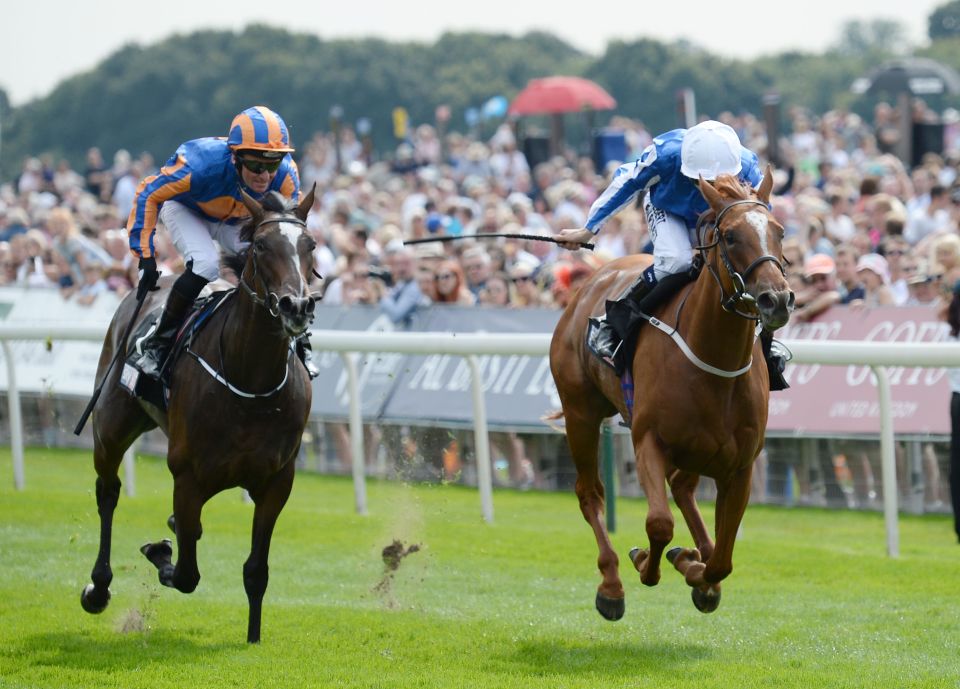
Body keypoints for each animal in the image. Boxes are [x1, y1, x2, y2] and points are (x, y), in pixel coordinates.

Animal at [79, 187, 318, 640]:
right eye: (262, 246)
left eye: (309, 245)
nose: (296, 306)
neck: (250, 379)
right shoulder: (188, 476)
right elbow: (187, 572)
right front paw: (160, 550)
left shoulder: (277, 481)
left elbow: (256, 570)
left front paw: (253, 638)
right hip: (111, 426)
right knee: (107, 492)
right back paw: (97, 588)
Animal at [552, 171, 792, 620]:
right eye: (730, 236)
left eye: (779, 231)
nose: (777, 299)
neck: (712, 359)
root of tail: (594, 277)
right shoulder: (649, 439)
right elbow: (659, 524)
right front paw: (647, 562)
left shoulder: (741, 466)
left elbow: (723, 558)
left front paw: (696, 570)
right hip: (580, 413)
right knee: (590, 494)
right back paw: (612, 584)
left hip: (700, 449)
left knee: (682, 487)